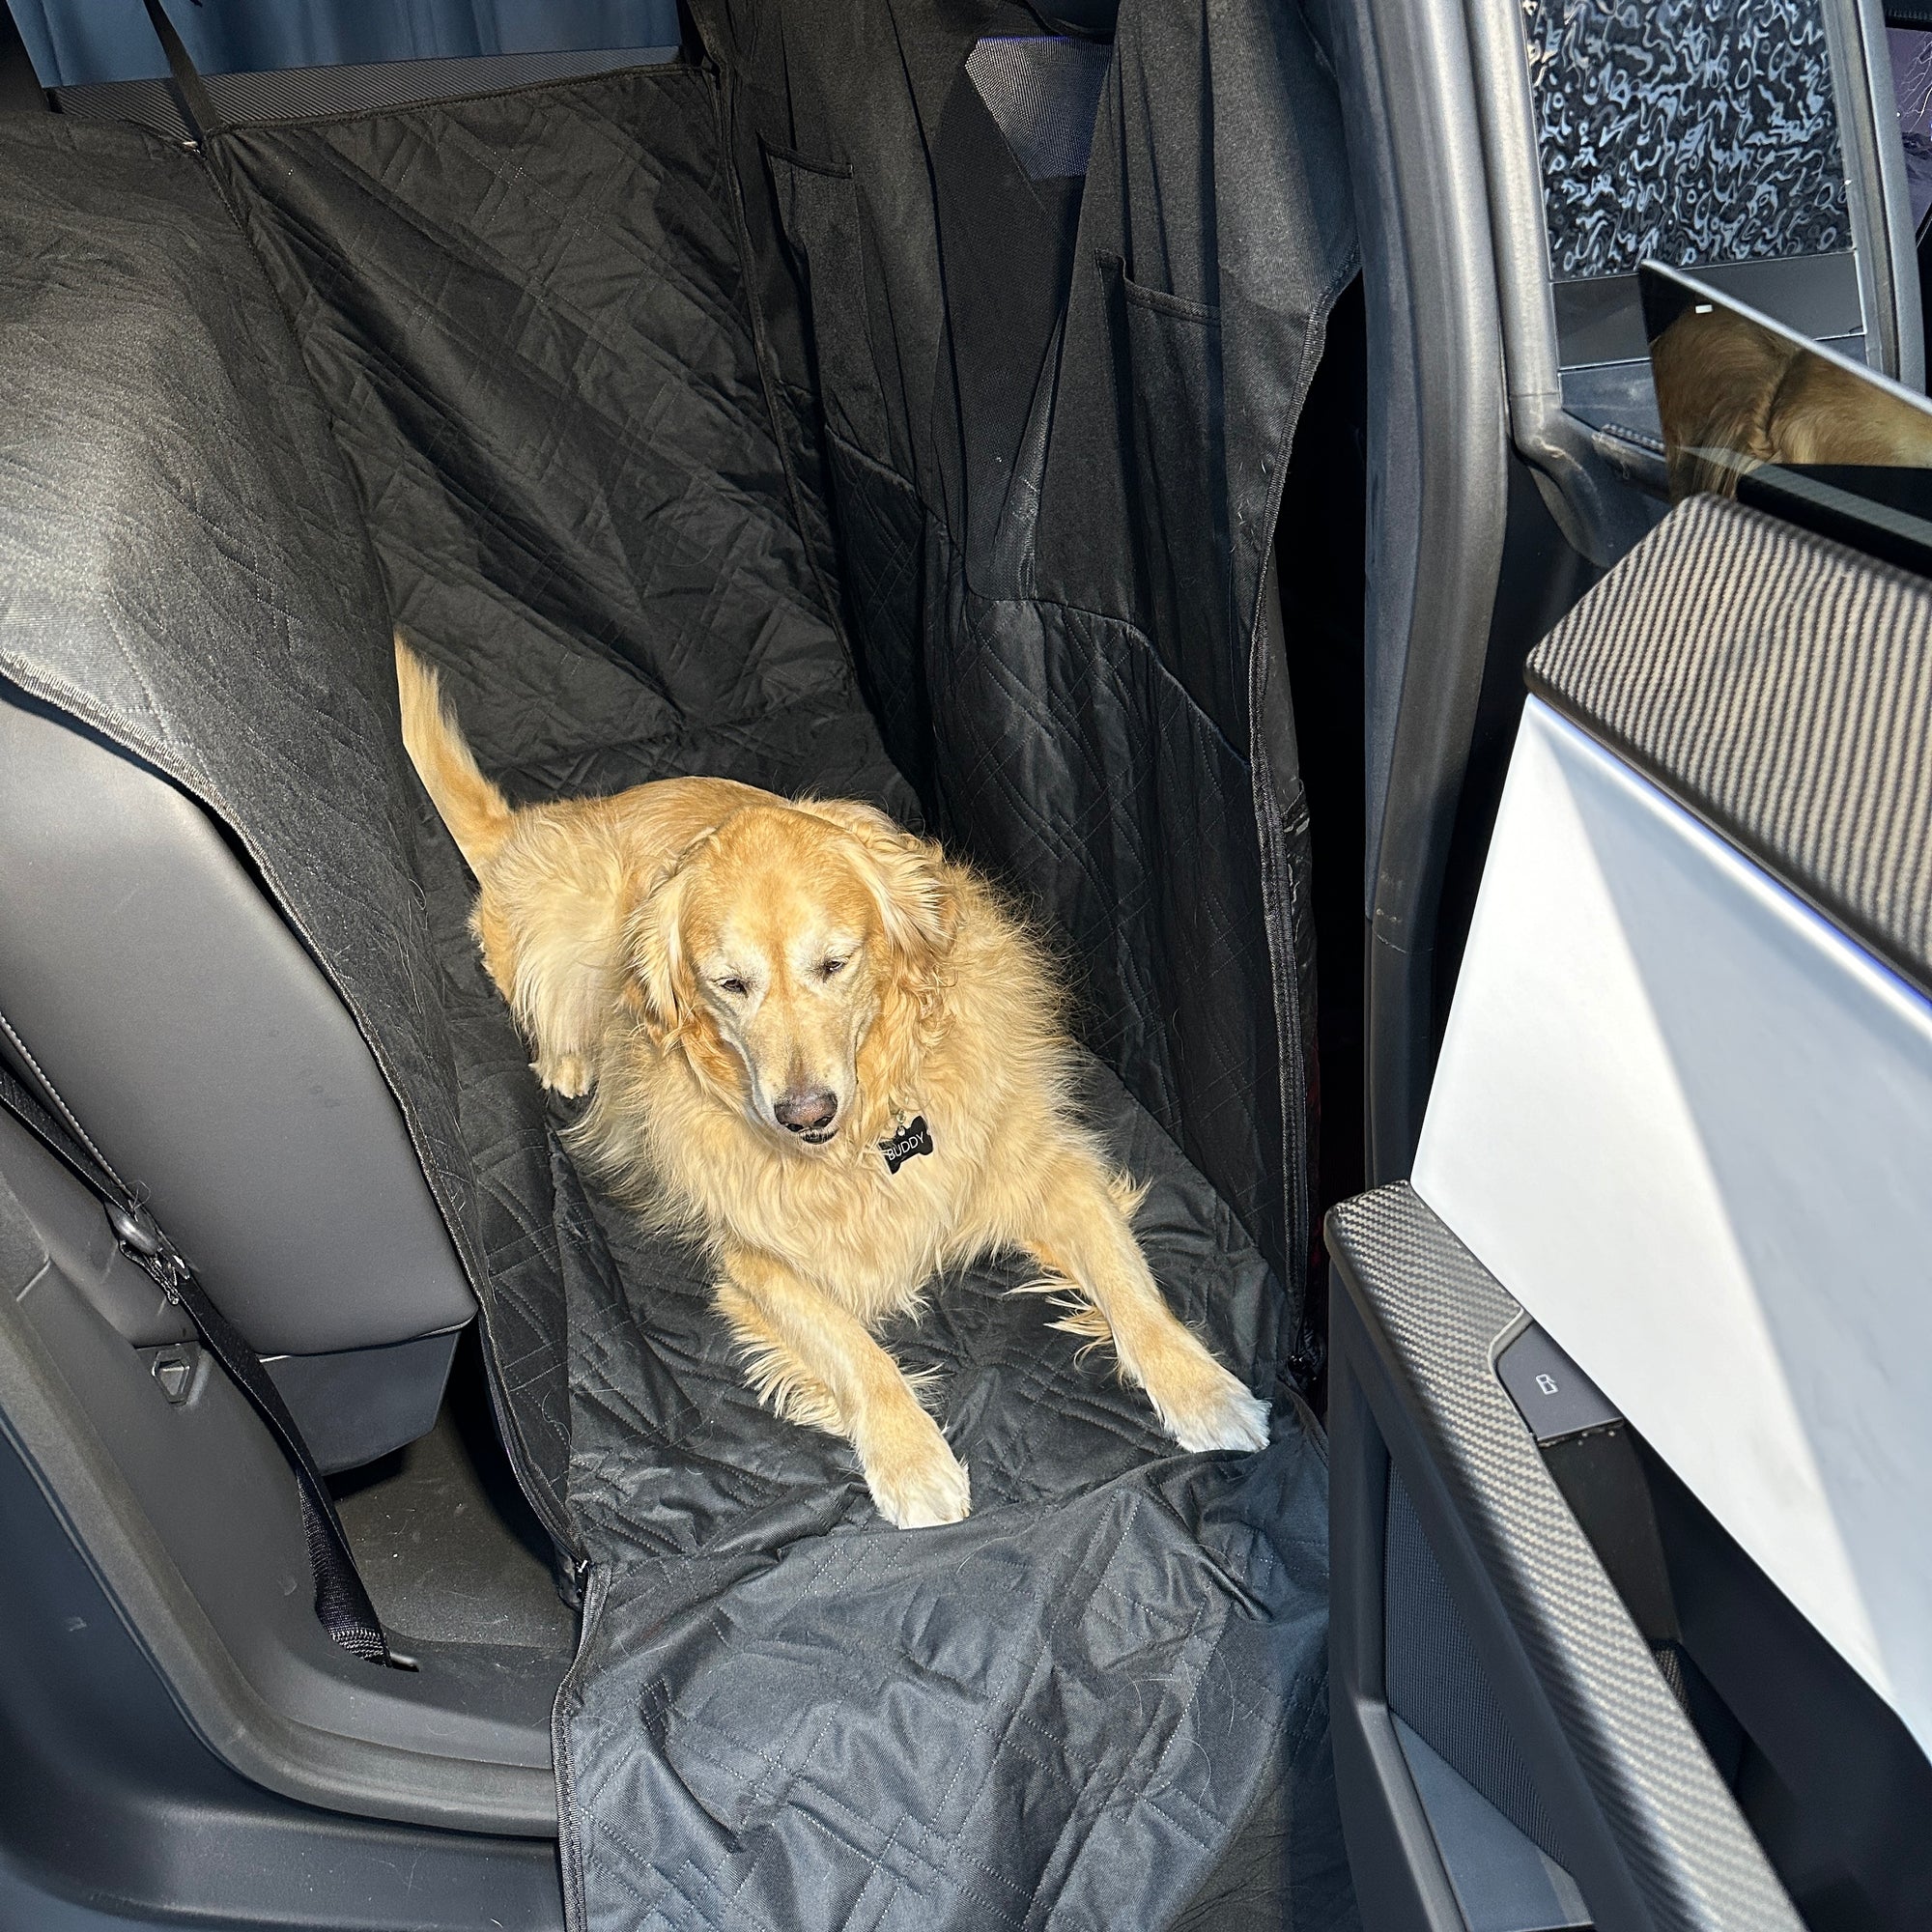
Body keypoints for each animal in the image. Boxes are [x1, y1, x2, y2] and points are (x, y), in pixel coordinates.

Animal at [396, 641, 1267, 1530]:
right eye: (729, 985)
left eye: (834, 964)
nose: (803, 1113)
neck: (872, 1127)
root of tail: (550, 820)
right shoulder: (760, 1257)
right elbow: (854, 1350)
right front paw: (912, 1457)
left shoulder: (1048, 1167)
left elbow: (1130, 1282)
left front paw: (1203, 1387)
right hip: (566, 934)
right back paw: (571, 1060)